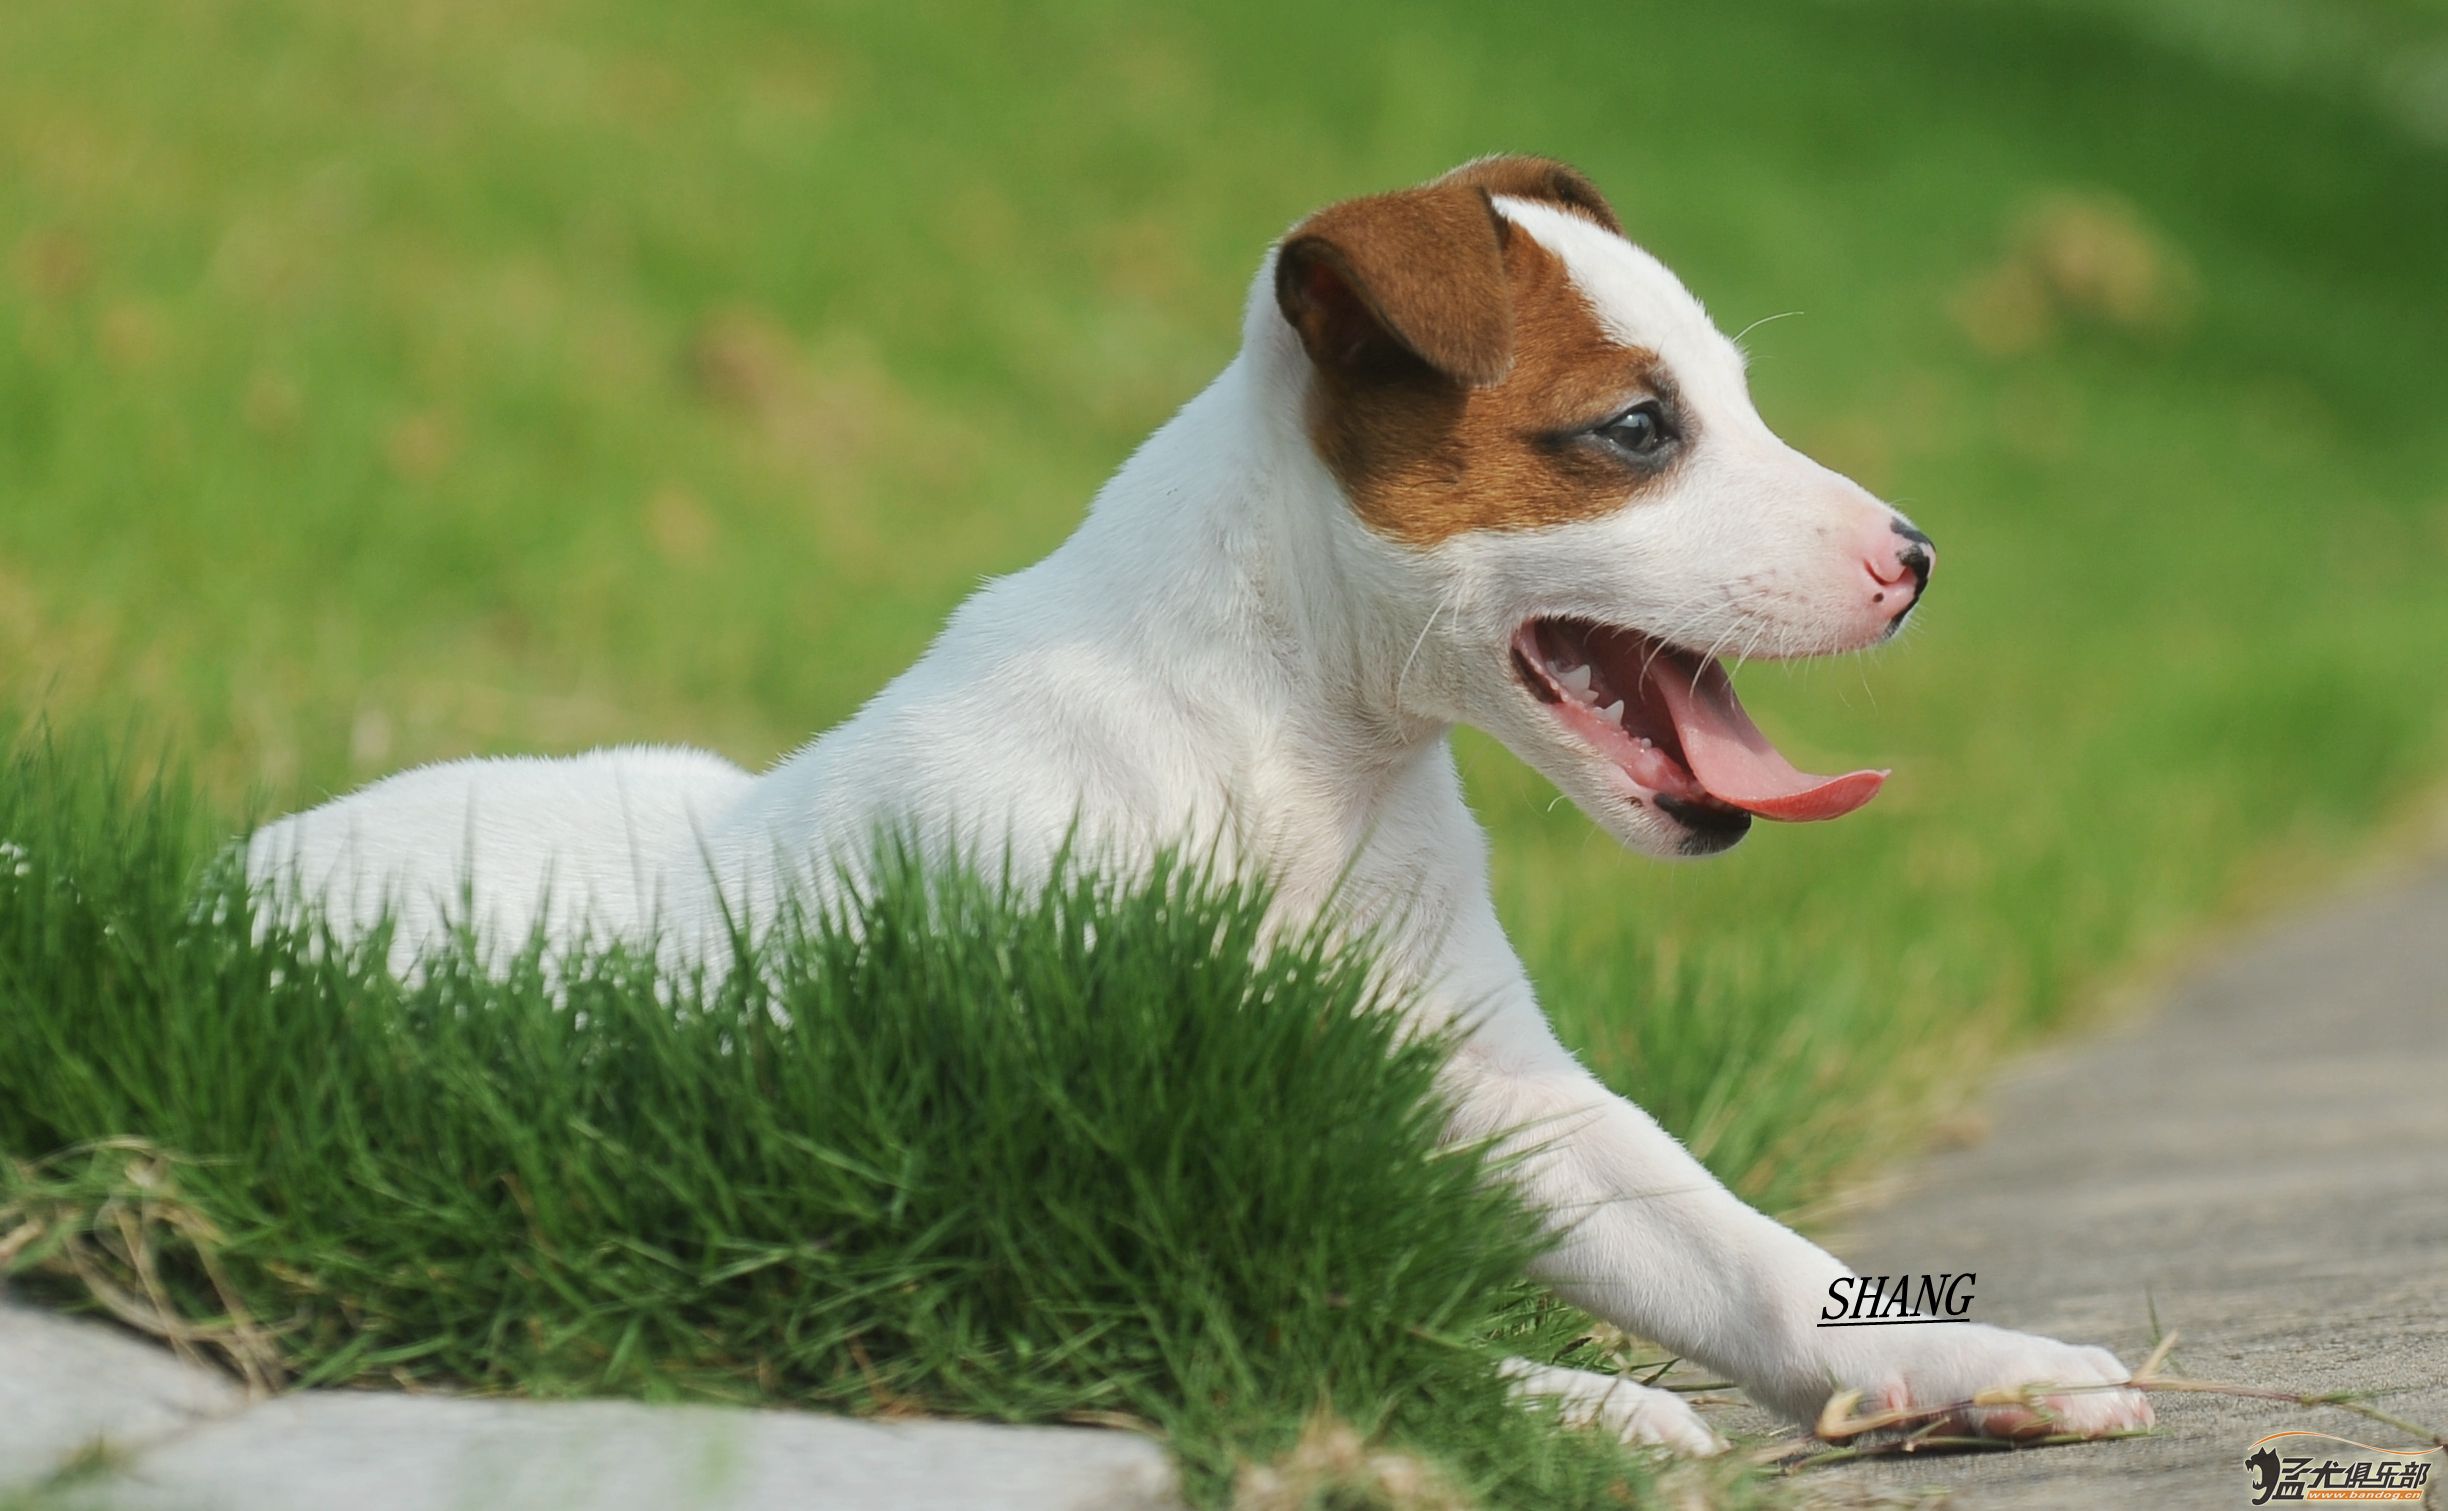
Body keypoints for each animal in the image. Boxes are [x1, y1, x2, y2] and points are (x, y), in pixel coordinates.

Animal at [258, 159, 2154, 1459]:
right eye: (1634, 427)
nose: (1915, 558)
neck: (1287, 762)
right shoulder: (1026, 1200)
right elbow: (1308, 1320)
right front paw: (1555, 1404)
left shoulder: (1501, 1094)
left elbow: (1740, 1252)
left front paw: (1971, 1365)